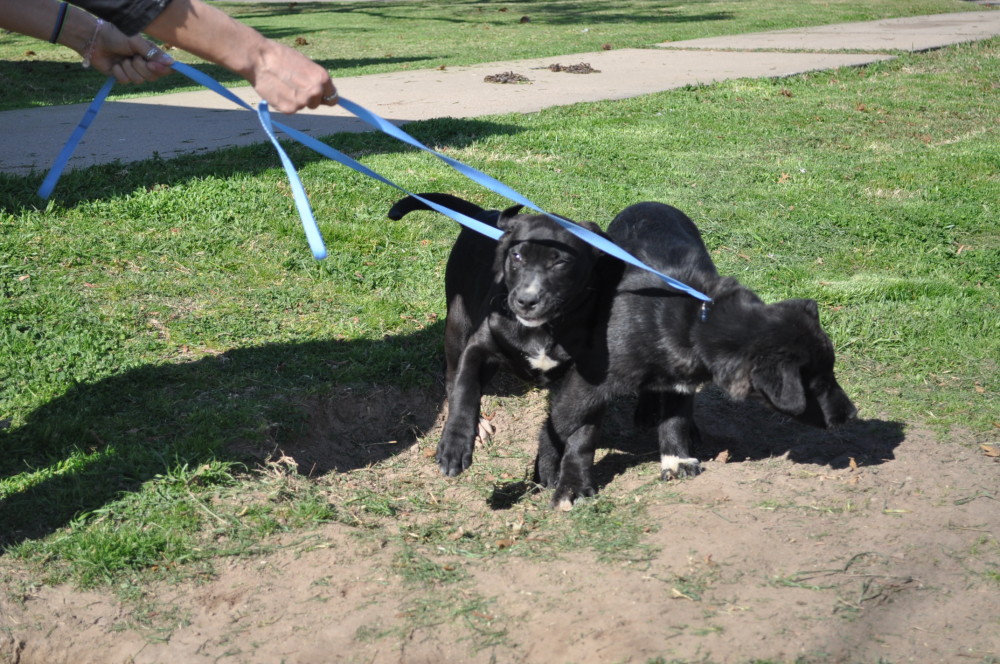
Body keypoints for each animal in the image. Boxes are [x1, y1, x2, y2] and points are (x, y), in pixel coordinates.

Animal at [388, 192, 616, 478]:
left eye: (561, 261)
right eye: (516, 256)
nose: (526, 301)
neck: (543, 329)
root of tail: (483, 214)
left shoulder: (592, 372)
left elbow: (584, 430)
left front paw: (571, 477)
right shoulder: (477, 348)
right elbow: (465, 391)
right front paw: (455, 444)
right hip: (458, 322)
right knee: (452, 376)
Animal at [540, 201, 860, 508]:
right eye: (818, 385)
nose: (852, 414)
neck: (697, 321)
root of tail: (650, 202)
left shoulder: (681, 378)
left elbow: (675, 419)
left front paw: (676, 459)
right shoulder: (588, 384)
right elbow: (567, 430)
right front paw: (560, 480)